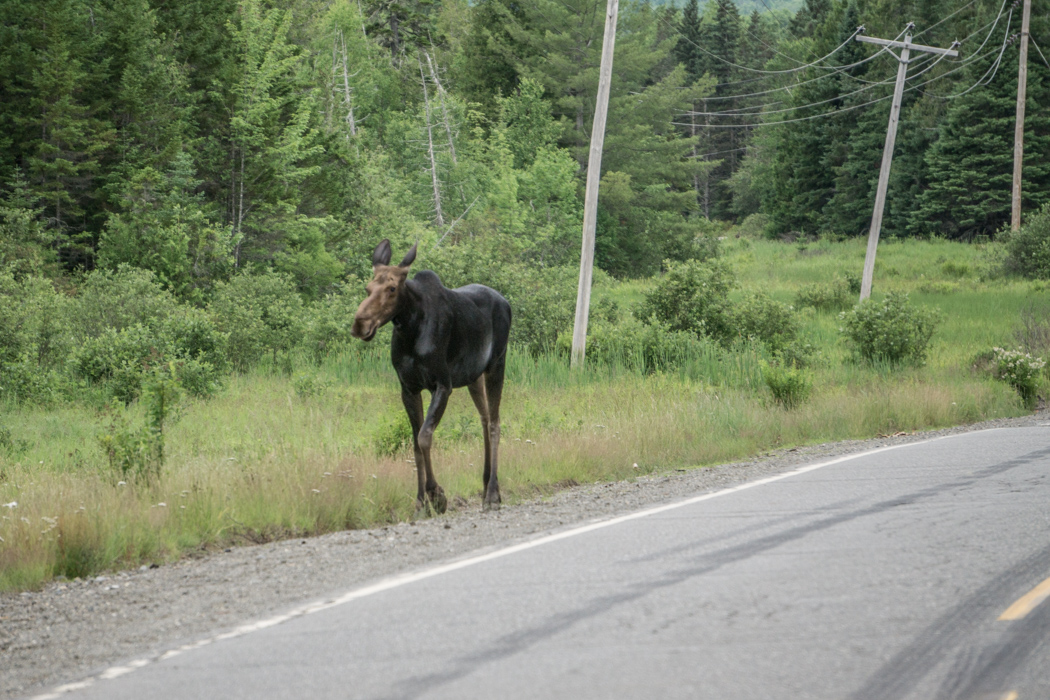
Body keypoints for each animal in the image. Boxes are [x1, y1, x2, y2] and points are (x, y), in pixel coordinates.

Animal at [352, 241, 512, 514]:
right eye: (368, 288)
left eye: (392, 288)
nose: (360, 323)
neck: (409, 329)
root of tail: (508, 303)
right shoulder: (408, 388)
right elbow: (415, 444)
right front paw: (420, 501)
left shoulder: (443, 385)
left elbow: (425, 437)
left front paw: (437, 495)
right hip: (473, 377)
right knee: (484, 418)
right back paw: (487, 485)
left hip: (496, 364)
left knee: (495, 423)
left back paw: (492, 494)